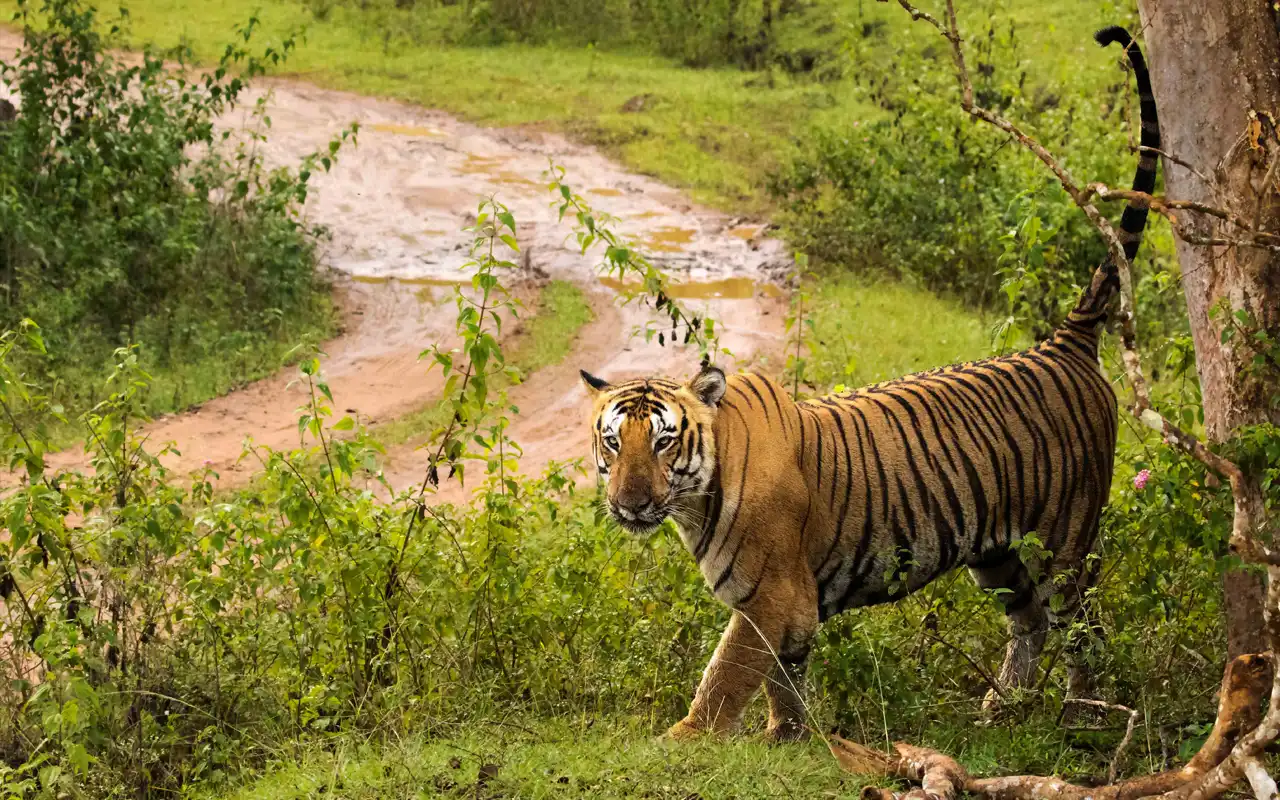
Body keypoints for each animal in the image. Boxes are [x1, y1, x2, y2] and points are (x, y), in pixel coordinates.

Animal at [579, 25, 1160, 742]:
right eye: (612, 442)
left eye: (661, 442)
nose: (630, 504)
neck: (695, 498)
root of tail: (1064, 342)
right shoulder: (793, 604)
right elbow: (785, 679)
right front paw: (790, 739)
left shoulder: (771, 594)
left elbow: (725, 677)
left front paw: (682, 742)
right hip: (996, 552)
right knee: (1029, 621)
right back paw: (1003, 708)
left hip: (1064, 539)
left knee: (1084, 626)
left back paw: (1082, 714)